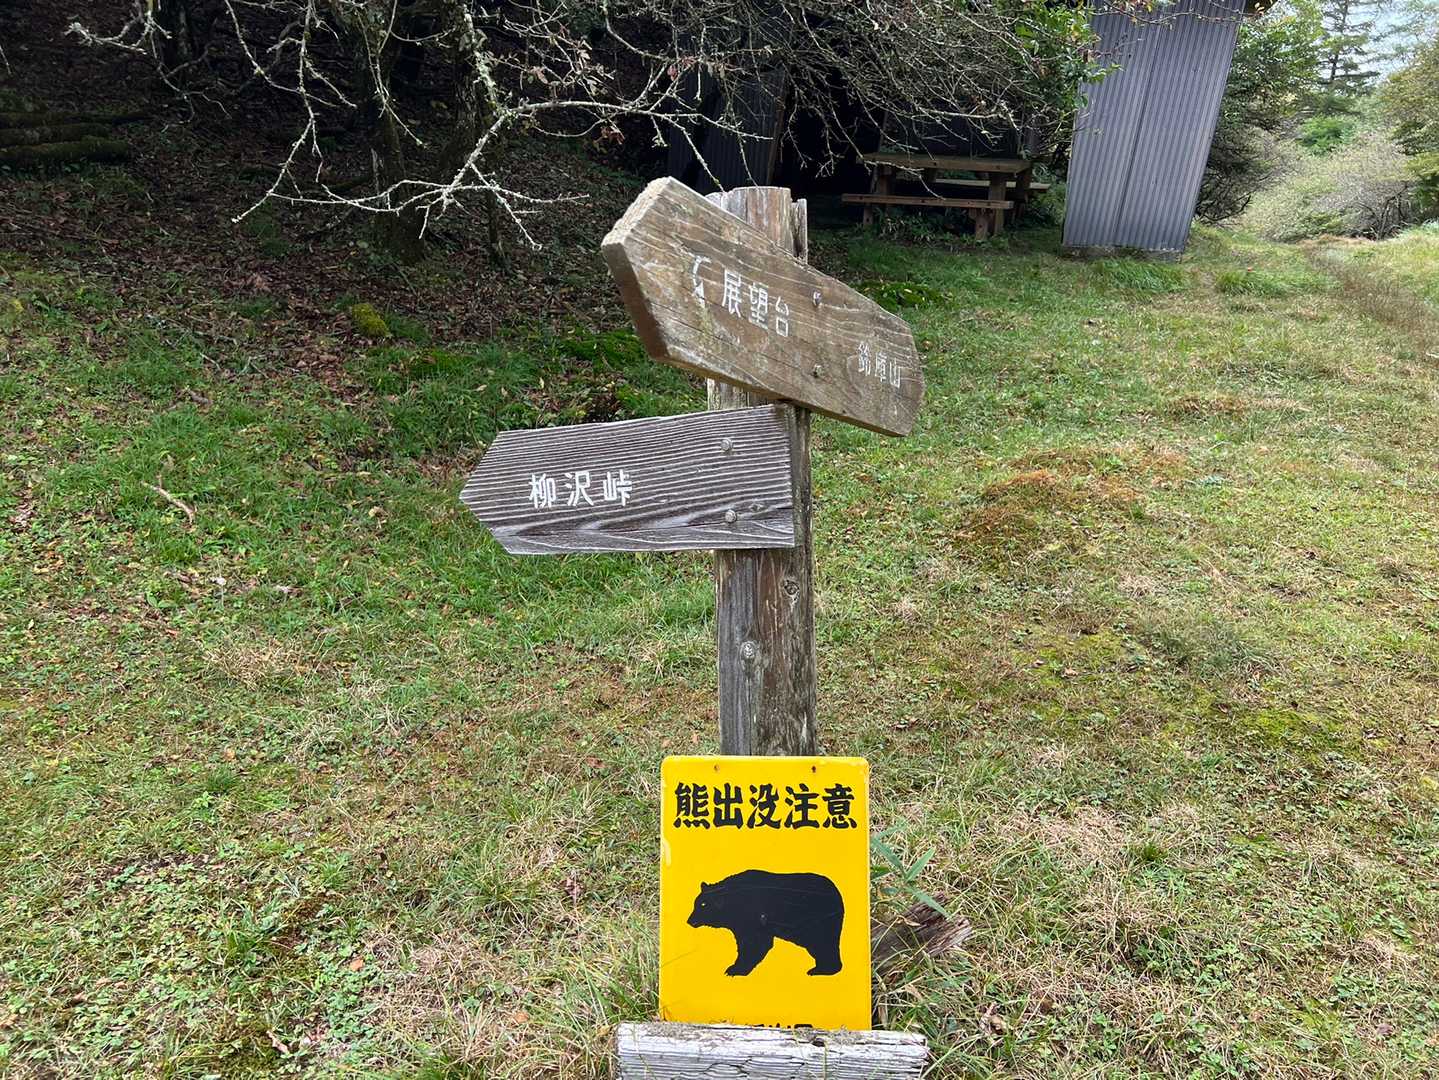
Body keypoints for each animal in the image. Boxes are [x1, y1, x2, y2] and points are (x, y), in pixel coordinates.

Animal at [687, 869, 844, 977]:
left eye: (703, 904)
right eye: (696, 903)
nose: (689, 920)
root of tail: (836, 892)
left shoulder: (752, 916)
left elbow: (754, 943)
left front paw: (735, 969)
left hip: (817, 919)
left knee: (823, 942)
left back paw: (823, 969)